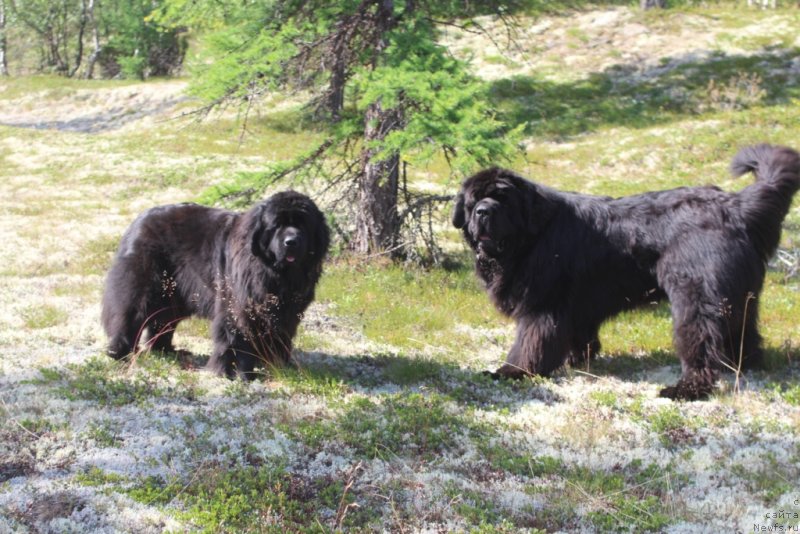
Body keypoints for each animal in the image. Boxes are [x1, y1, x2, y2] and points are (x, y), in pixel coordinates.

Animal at [101, 193, 330, 382]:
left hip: (172, 295)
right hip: (144, 285)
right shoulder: (238, 308)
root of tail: (139, 220)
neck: (276, 273)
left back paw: (166, 350)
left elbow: (279, 337)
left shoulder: (285, 313)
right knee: (129, 314)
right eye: (276, 225)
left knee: (162, 321)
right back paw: (119, 352)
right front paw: (236, 374)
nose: (291, 241)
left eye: (303, 225)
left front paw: (278, 366)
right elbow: (234, 339)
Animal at [454, 144, 800, 400]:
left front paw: (512, 372)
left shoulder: (543, 305)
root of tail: (735, 206)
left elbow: (529, 343)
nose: (483, 212)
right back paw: (744, 366)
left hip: (697, 297)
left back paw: (686, 389)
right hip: (738, 294)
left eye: (503, 198)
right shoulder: (576, 305)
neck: (533, 233)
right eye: (473, 201)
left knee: (700, 344)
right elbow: (578, 335)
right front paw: (576, 360)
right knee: (742, 331)